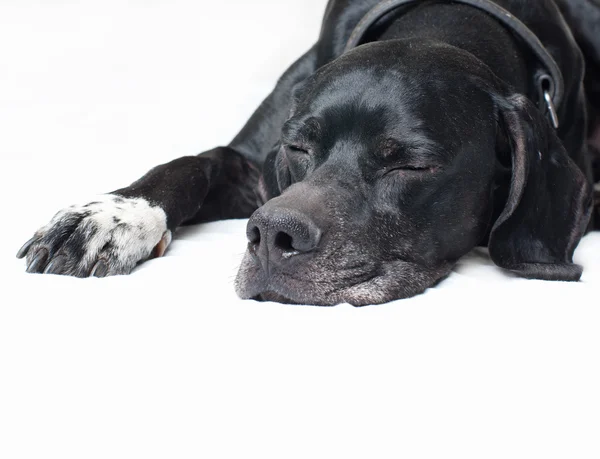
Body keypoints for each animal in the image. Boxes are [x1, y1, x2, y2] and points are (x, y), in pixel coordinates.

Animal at [16, 0, 600, 310]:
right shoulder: (250, 163)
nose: (272, 235)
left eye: (411, 166)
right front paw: (110, 218)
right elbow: (188, 165)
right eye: (297, 147)